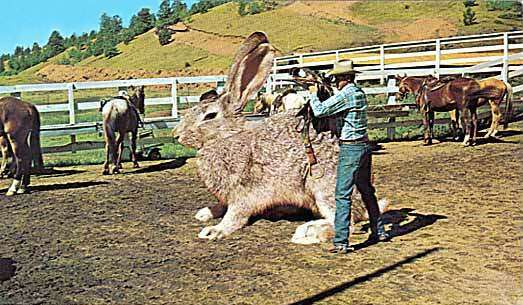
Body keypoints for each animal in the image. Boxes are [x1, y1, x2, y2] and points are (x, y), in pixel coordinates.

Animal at [173, 32, 388, 243]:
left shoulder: (244, 193)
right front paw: (205, 213)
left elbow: (235, 215)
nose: (176, 135)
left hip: (323, 187)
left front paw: (214, 230)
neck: (227, 135)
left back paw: (308, 232)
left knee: (347, 222)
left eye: (210, 116)